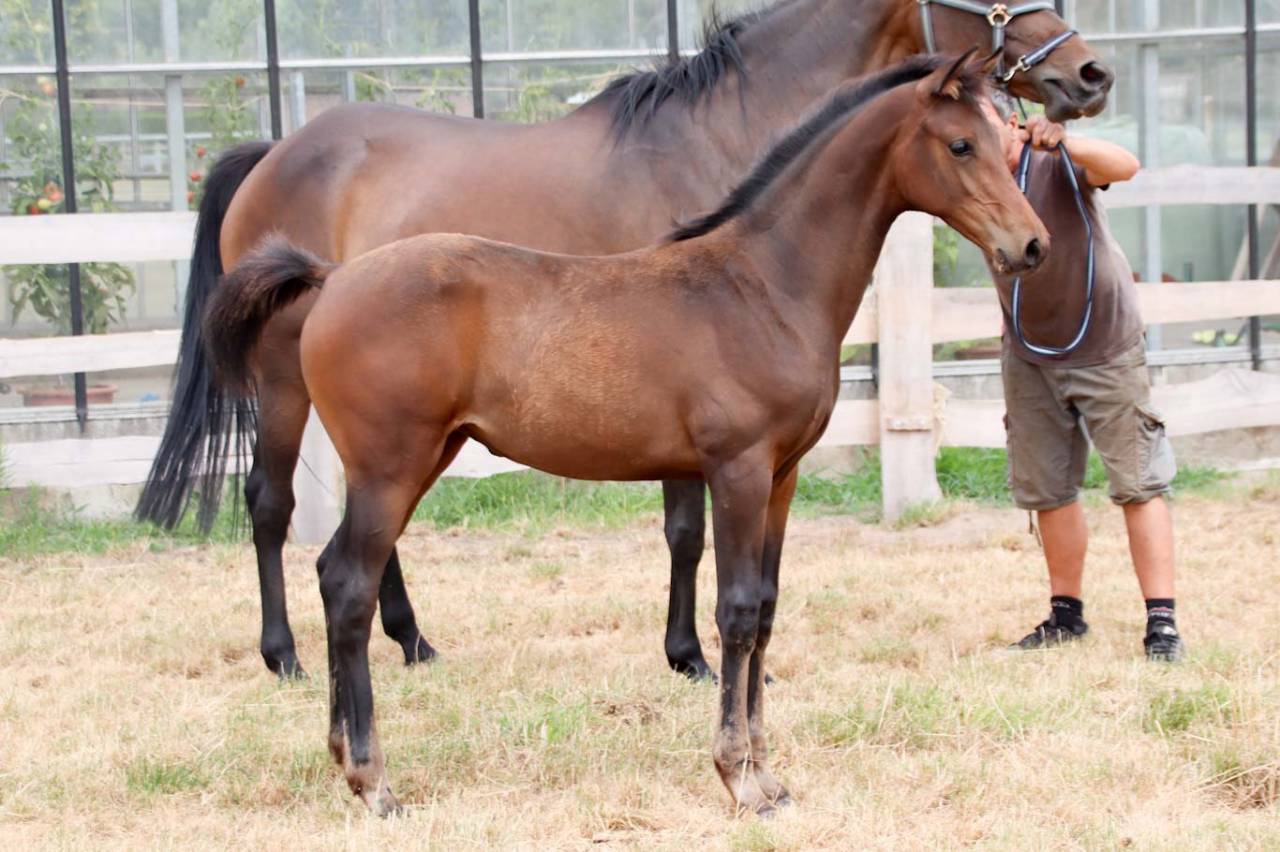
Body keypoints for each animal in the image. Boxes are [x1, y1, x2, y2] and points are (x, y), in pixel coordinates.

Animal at [137, 0, 1111, 681]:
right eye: (959, 144)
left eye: (1002, 138)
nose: (1089, 72)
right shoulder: (722, 453)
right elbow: (699, 551)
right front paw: (695, 665)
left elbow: (737, 574)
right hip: (293, 395)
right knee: (274, 508)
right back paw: (288, 657)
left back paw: (410, 642)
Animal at [203, 52, 1049, 817]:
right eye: (960, 144)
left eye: (1006, 136)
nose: (1033, 245)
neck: (763, 285)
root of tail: (331, 279)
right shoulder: (737, 470)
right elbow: (736, 612)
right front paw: (738, 777)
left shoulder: (782, 476)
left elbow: (768, 611)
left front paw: (770, 775)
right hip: (389, 466)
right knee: (346, 584)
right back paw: (373, 780)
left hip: (418, 459)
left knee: (332, 572)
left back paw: (342, 753)